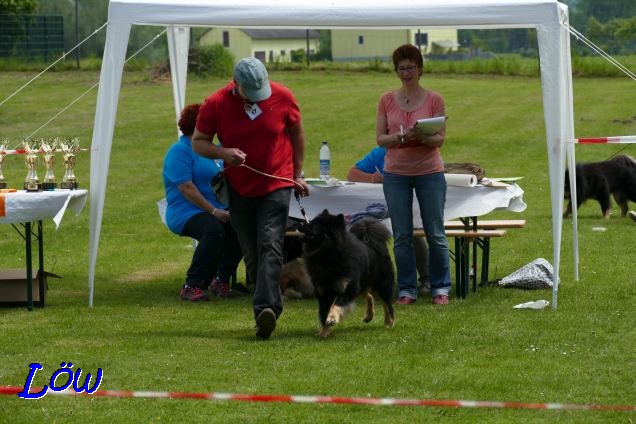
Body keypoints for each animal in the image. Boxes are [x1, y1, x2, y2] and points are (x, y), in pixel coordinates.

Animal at [300, 210, 396, 340]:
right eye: (313, 221)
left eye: (316, 225)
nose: (301, 224)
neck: (327, 254)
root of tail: (372, 243)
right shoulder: (323, 293)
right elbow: (323, 313)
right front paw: (323, 333)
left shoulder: (347, 287)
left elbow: (336, 304)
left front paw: (332, 319)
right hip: (363, 283)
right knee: (370, 295)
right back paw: (369, 316)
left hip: (381, 285)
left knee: (387, 304)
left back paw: (389, 322)